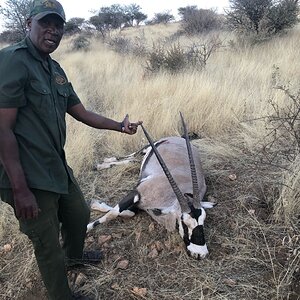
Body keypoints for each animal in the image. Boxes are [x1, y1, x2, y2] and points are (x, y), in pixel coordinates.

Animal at [88, 113, 217, 258]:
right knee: (131, 156)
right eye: (184, 222)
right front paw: (87, 226)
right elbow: (113, 213)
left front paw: (97, 204)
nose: (200, 253)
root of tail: (180, 138)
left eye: (203, 221)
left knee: (133, 160)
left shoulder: (138, 204)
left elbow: (127, 213)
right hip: (146, 148)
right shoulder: (137, 192)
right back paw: (102, 164)